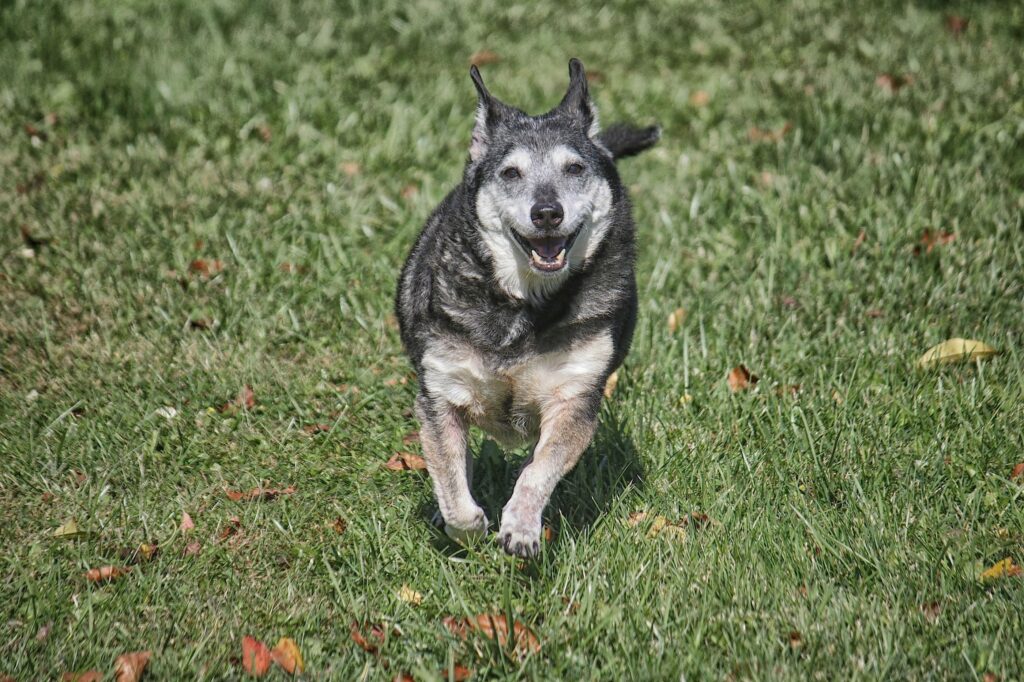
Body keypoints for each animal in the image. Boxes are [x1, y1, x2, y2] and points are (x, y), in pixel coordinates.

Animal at [395, 57, 659, 557]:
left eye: (574, 168)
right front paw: (467, 525)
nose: (547, 212)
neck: (524, 305)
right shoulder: (440, 391)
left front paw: (519, 526)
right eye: (511, 174)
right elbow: (450, 478)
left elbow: (538, 470)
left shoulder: (574, 397)